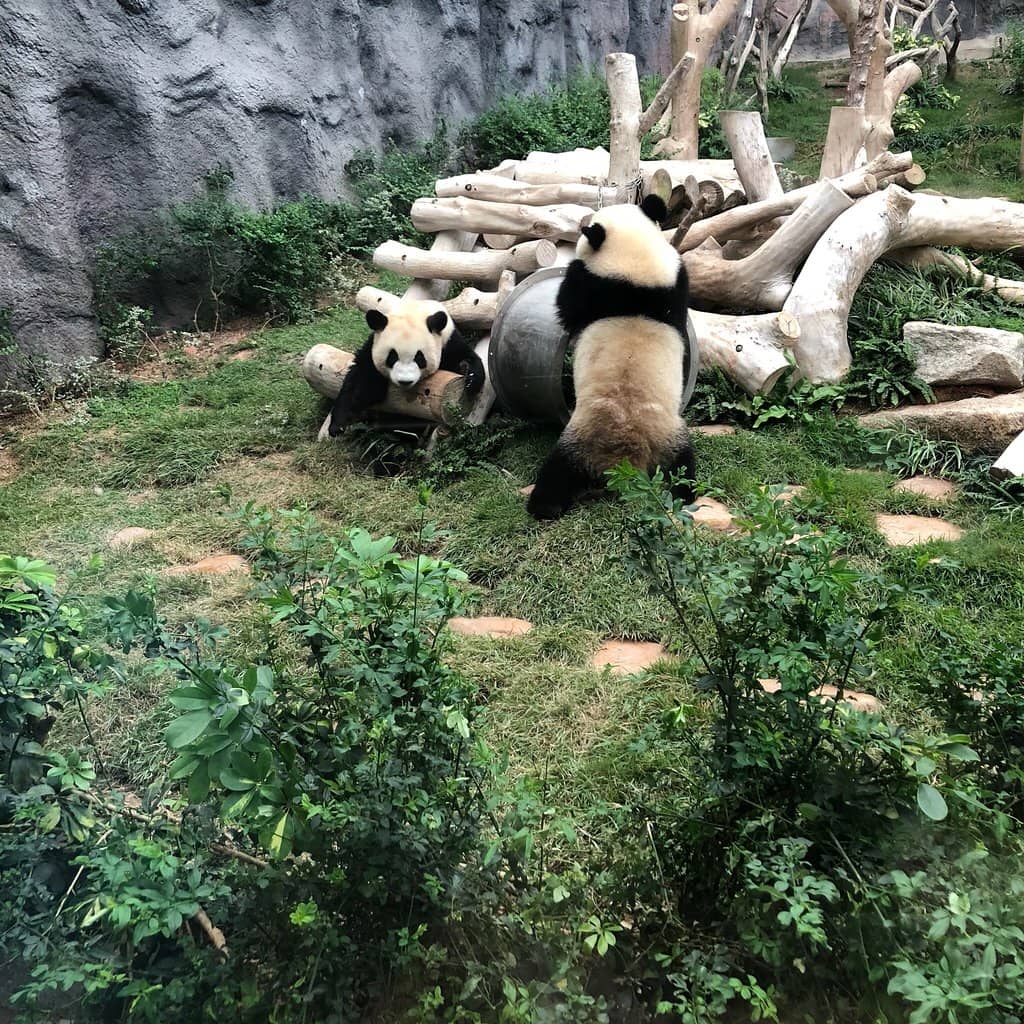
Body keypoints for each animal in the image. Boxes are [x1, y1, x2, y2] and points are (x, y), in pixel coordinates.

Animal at [328, 300, 485, 436]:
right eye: (392, 357)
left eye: (419, 358)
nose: (405, 381)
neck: (414, 310)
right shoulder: (371, 348)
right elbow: (361, 382)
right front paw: (338, 424)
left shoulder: (449, 342)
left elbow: (468, 358)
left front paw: (468, 375)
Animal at [526, 194, 695, 520]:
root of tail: (625, 457)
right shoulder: (675, 283)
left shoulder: (594, 286)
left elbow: (568, 305)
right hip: (672, 438)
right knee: (684, 468)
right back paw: (685, 496)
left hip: (581, 438)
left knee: (558, 472)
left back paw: (543, 505)